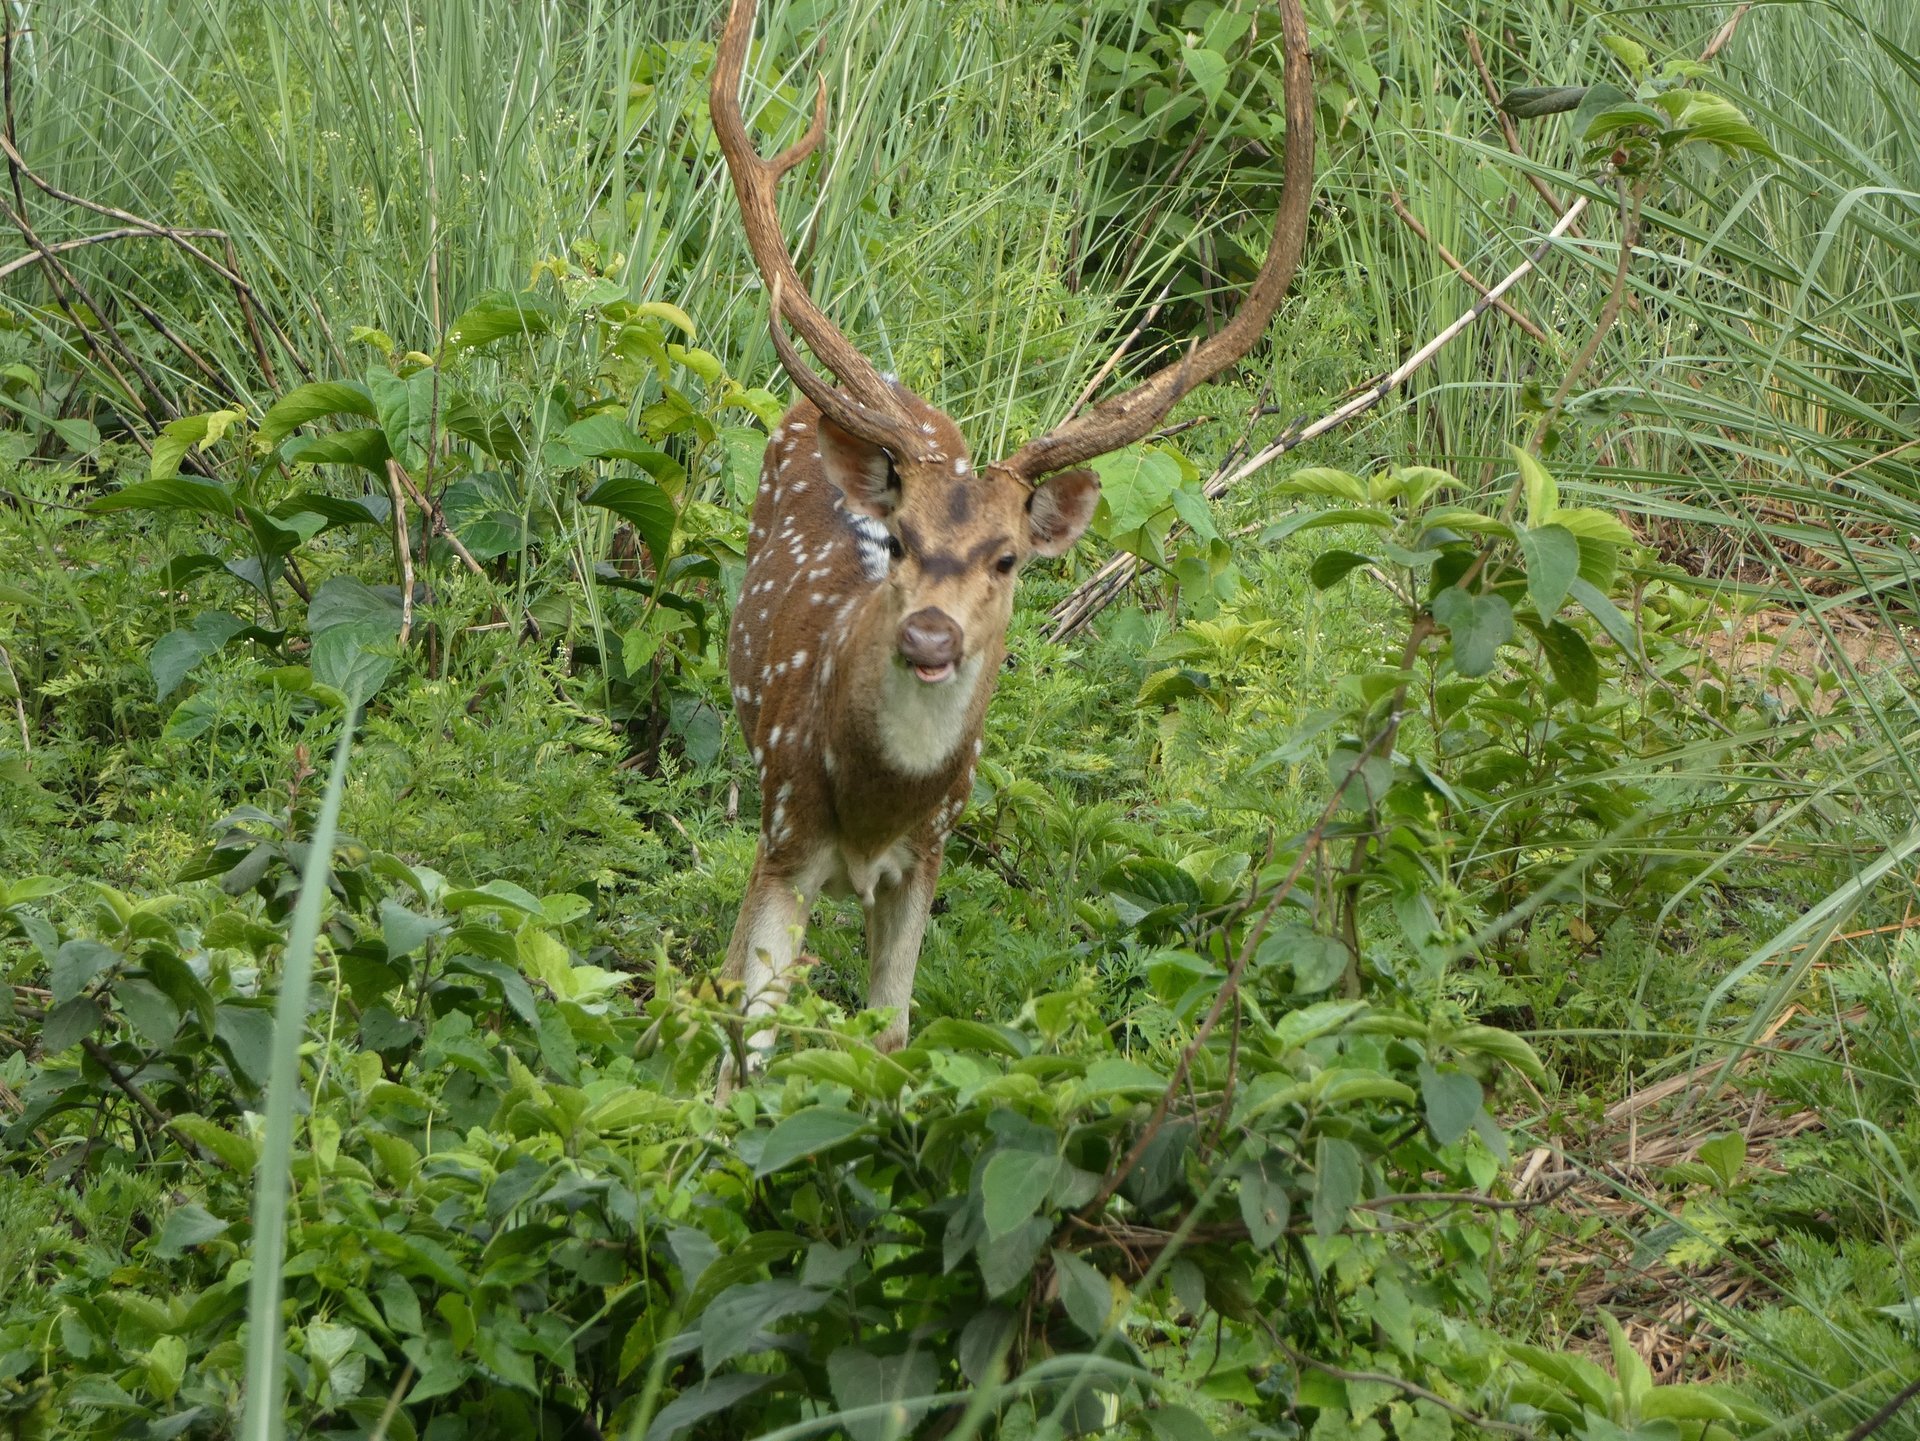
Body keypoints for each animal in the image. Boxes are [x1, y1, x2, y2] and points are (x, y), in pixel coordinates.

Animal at [711, 0, 1314, 1075]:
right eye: (897, 541)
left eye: (1007, 558)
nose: (929, 636)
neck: (875, 808)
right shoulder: (786, 824)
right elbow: (759, 1036)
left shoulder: (931, 853)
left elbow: (893, 1031)